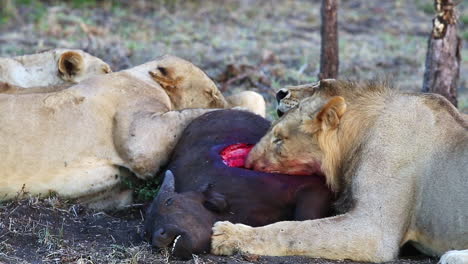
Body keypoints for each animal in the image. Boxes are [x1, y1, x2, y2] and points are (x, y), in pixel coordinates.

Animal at [213, 79, 468, 262]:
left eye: (279, 139)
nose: (280, 93)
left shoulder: (373, 230)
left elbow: (295, 231)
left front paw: (228, 234)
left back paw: (452, 256)